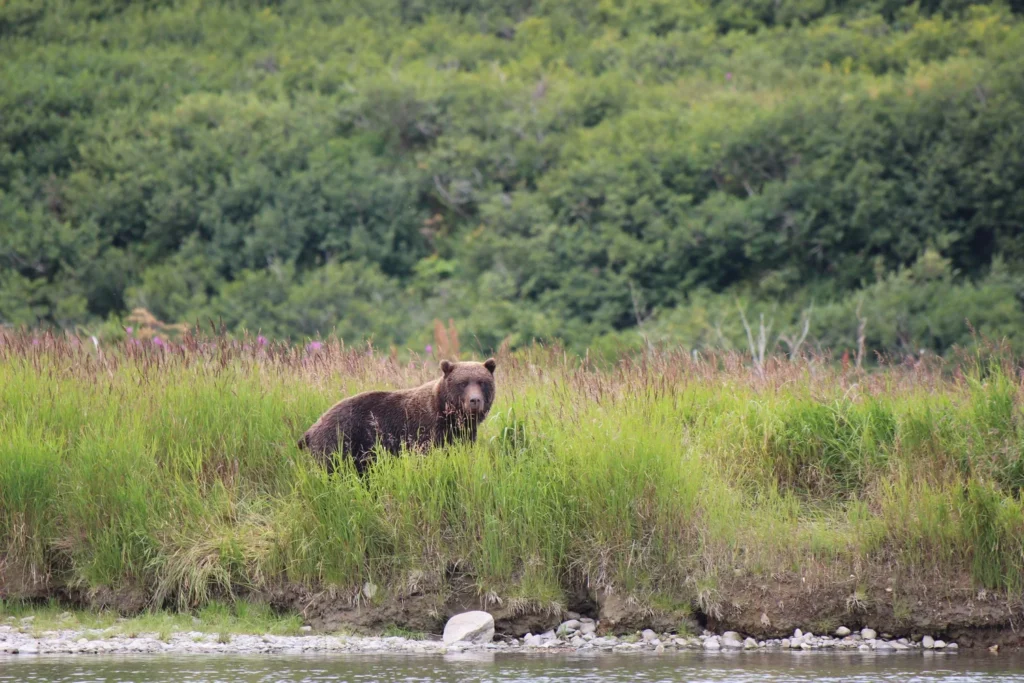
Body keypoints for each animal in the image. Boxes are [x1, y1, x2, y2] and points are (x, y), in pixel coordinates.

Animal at [297, 358, 497, 475]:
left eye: (481, 382)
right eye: (463, 383)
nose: (474, 400)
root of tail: (311, 429)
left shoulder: (463, 434)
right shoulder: (425, 431)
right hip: (339, 440)